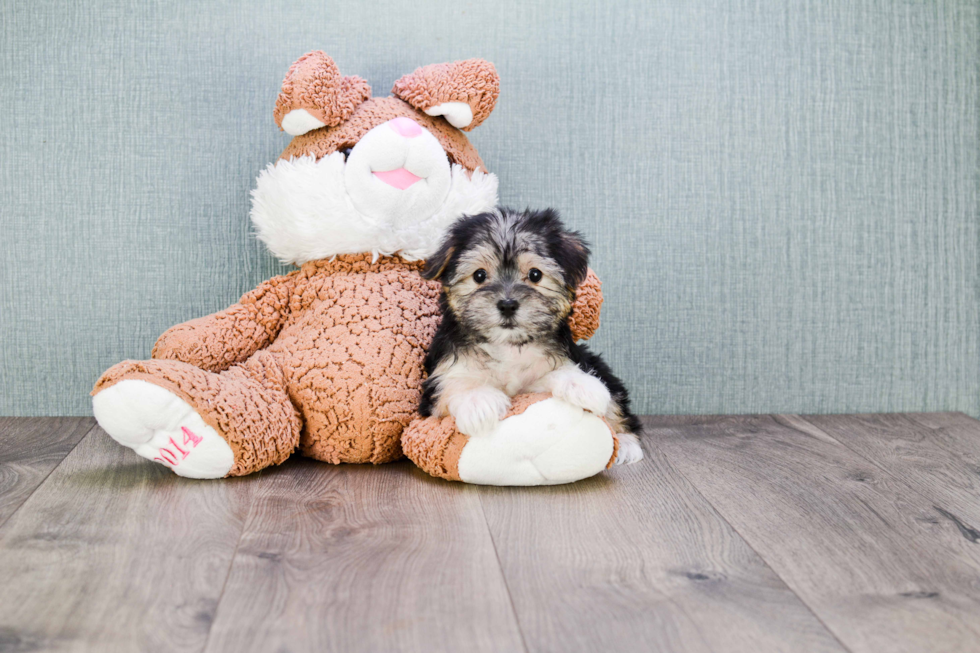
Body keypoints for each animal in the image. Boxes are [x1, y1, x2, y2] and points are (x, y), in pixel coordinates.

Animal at [420, 205, 644, 464]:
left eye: (535, 275)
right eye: (479, 276)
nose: (507, 305)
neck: (509, 345)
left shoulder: (554, 364)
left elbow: (554, 373)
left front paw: (582, 385)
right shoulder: (437, 384)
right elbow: (453, 385)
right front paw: (478, 401)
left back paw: (626, 442)